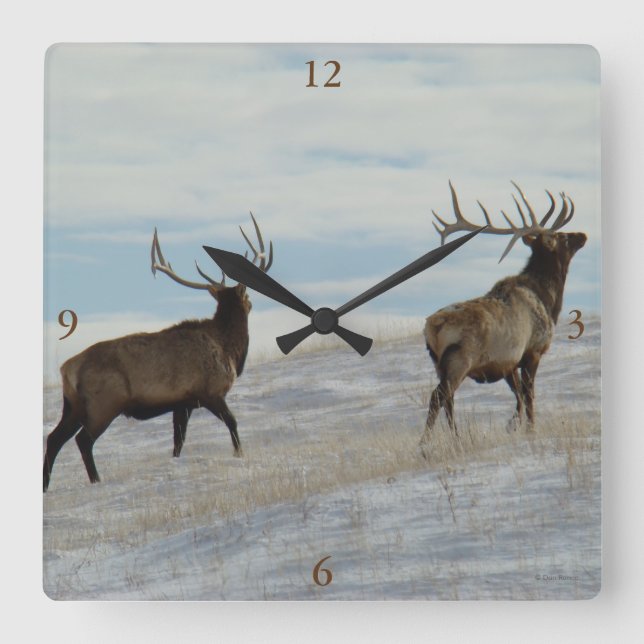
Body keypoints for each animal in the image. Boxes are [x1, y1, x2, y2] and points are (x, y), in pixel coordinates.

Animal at [43, 214, 273, 492]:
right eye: (247, 294)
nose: (252, 300)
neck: (229, 349)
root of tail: (67, 369)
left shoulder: (183, 402)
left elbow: (178, 442)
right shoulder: (210, 392)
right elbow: (232, 422)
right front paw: (239, 453)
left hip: (73, 406)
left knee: (53, 438)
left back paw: (45, 486)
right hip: (104, 402)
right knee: (82, 440)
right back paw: (96, 479)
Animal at [420, 181, 586, 452]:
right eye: (562, 236)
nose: (582, 235)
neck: (549, 300)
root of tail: (432, 327)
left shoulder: (508, 362)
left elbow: (518, 395)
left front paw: (513, 425)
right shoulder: (533, 350)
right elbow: (529, 395)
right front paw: (530, 428)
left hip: (439, 363)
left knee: (448, 400)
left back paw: (456, 438)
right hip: (459, 360)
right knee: (438, 397)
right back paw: (425, 444)